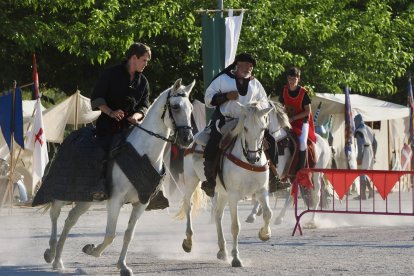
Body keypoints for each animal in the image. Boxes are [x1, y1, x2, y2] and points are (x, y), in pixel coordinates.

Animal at [40, 78, 194, 274]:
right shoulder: (115, 201)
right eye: (175, 106)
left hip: (85, 199)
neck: (143, 152)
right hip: (63, 193)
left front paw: (122, 265)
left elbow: (128, 234)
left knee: (70, 220)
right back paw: (51, 252)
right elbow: (110, 235)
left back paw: (58, 260)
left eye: (190, 108)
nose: (187, 139)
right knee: (55, 213)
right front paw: (92, 250)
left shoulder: (141, 204)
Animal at [178, 102, 282, 268]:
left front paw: (264, 234)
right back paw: (188, 242)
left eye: (262, 129)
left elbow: (268, 213)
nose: (253, 157)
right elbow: (235, 226)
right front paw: (236, 258)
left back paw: (222, 250)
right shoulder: (234, 196)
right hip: (192, 180)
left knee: (218, 214)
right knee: (188, 204)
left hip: (223, 193)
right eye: (245, 128)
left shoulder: (261, 191)